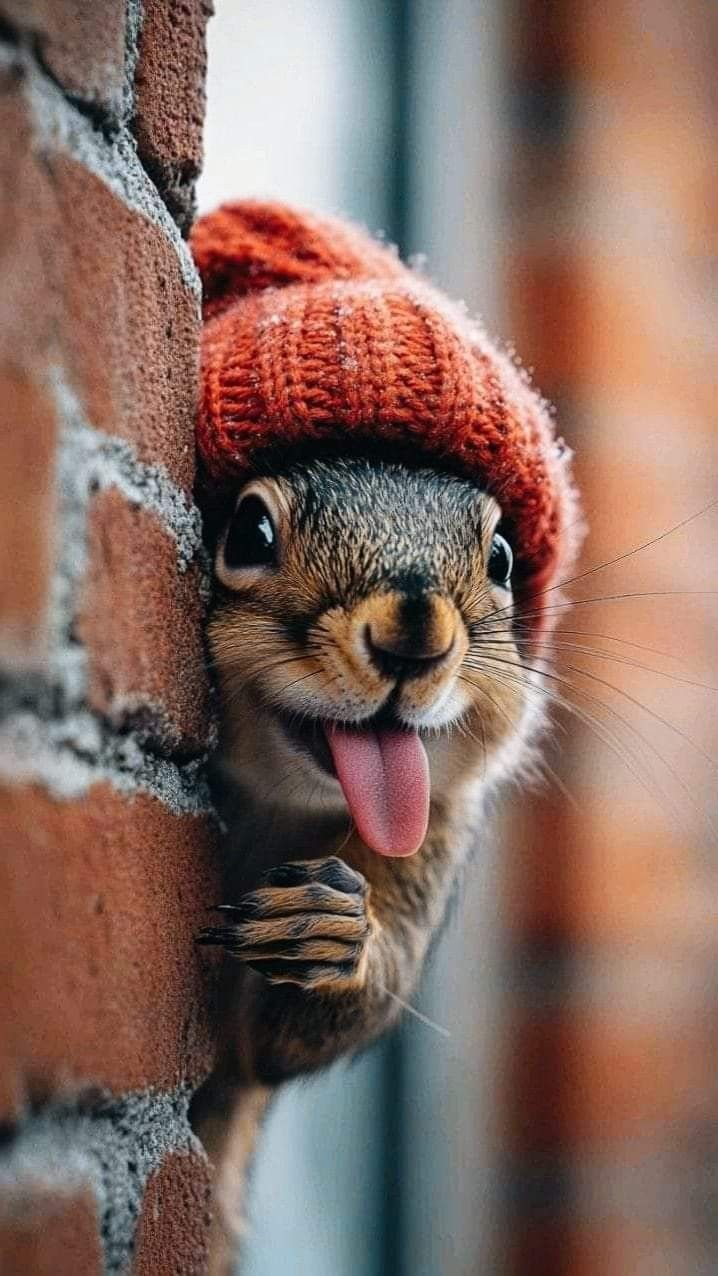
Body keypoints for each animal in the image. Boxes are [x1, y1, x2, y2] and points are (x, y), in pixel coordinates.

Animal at [188, 204, 581, 1270]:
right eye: (247, 532)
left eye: (501, 555)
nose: (415, 630)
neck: (281, 808)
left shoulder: (432, 838)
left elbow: (283, 1041)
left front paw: (334, 930)